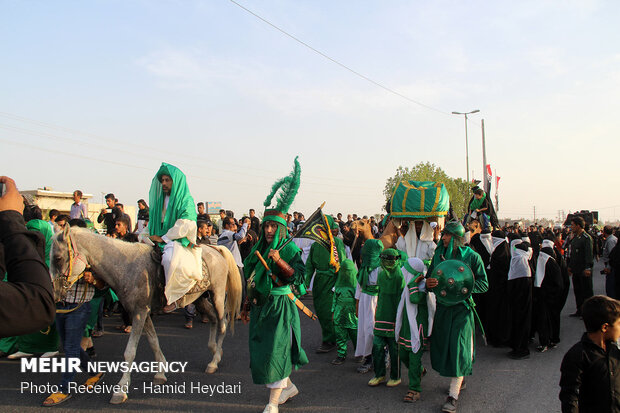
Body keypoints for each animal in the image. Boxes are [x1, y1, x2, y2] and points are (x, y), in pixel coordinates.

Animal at [50, 225, 241, 402]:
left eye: (57, 258)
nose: (56, 295)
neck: (126, 267)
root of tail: (215, 249)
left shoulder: (139, 312)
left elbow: (130, 351)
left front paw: (121, 389)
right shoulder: (143, 311)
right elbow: (153, 341)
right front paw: (160, 373)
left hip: (217, 294)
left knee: (222, 323)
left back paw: (214, 361)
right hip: (199, 299)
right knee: (213, 319)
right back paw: (215, 350)